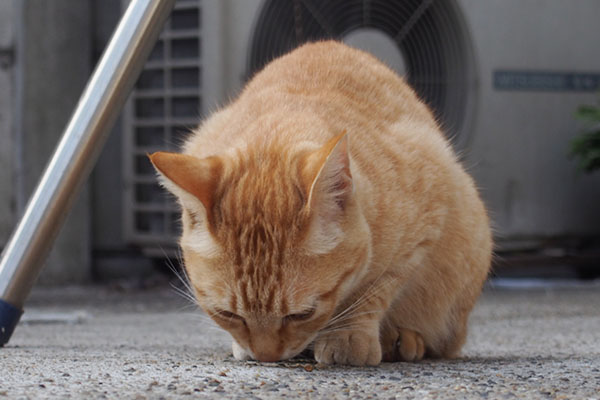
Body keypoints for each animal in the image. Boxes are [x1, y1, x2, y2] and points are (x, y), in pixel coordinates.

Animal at [150, 40, 492, 366]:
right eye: (228, 315)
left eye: (302, 314)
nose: (266, 358)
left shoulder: (423, 227)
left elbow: (373, 291)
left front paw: (349, 335)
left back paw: (403, 339)